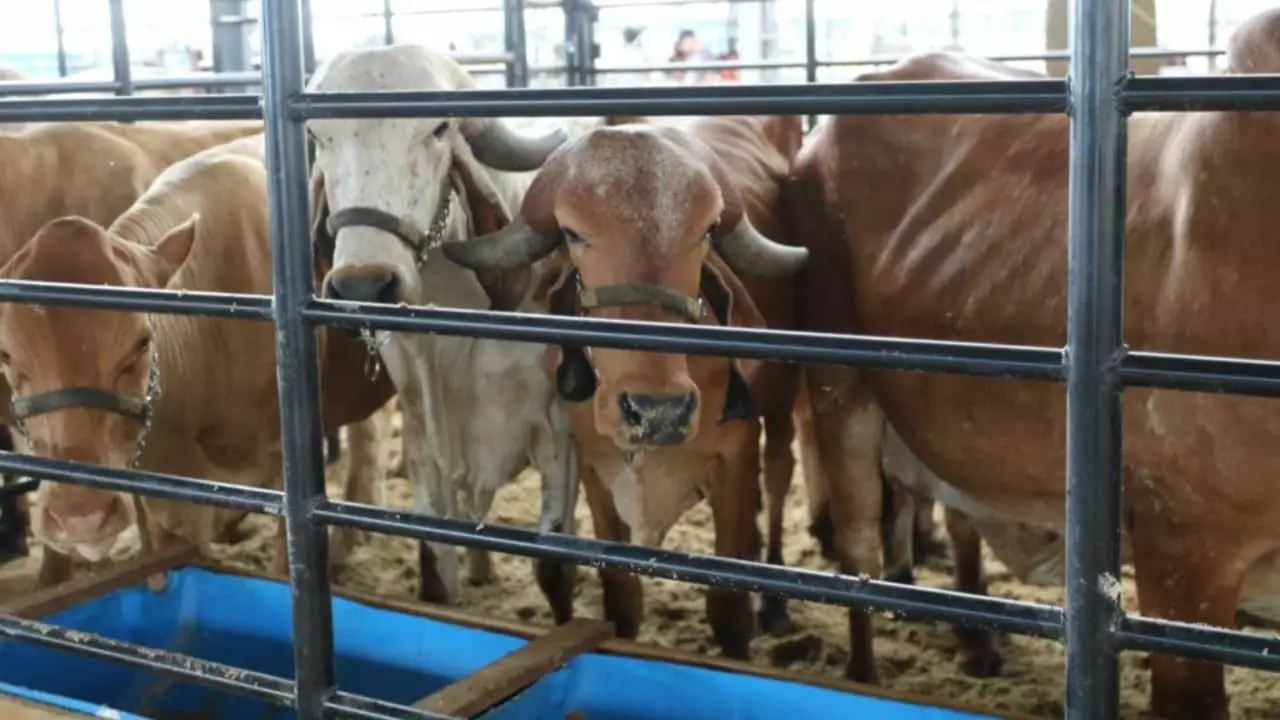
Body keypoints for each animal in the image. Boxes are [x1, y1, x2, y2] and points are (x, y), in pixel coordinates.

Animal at [307, 44, 586, 620]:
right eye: (319, 135)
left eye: (438, 128)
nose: (364, 285)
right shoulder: (421, 431)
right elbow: (436, 569)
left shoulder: (557, 434)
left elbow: (554, 569)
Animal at [435, 113, 803, 655]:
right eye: (573, 233)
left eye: (708, 230)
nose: (657, 412)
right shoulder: (595, 466)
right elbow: (621, 597)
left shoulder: (736, 456)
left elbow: (730, 609)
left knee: (778, 477)